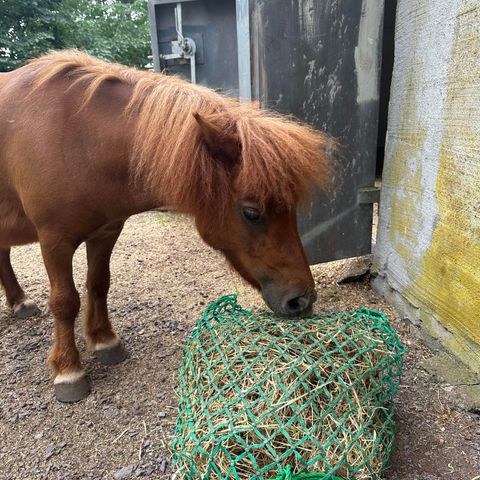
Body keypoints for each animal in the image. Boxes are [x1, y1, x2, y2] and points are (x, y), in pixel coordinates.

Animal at [0, 50, 330, 402]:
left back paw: (19, 302)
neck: (78, 137)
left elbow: (98, 284)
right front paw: (68, 371)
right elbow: (65, 302)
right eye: (252, 212)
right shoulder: (54, 240)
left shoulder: (106, 232)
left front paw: (105, 341)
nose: (303, 300)